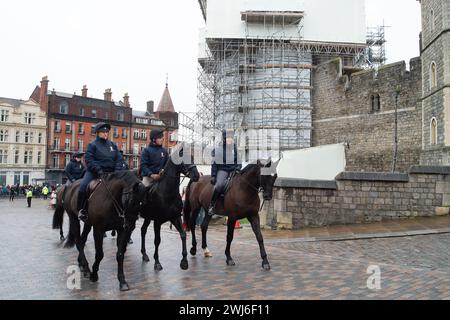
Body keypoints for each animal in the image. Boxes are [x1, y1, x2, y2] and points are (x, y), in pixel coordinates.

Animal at [139, 144, 199, 272]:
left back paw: (144, 255)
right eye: (184, 157)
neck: (167, 193)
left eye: (192, 156)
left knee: (143, 230)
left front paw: (184, 262)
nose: (196, 176)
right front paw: (157, 263)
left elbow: (183, 235)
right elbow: (157, 240)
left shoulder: (175, 217)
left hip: (147, 218)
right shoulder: (157, 221)